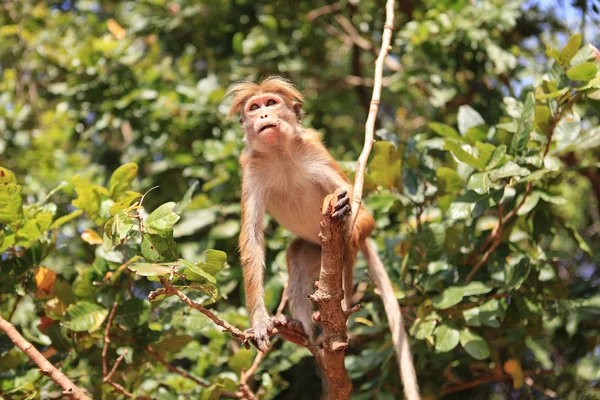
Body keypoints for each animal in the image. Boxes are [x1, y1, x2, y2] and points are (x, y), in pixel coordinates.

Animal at [230, 76, 422, 400]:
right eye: (254, 107)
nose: (263, 115)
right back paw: (300, 329)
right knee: (297, 252)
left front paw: (346, 216)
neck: (281, 154)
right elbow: (253, 239)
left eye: (271, 103)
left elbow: (365, 215)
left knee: (350, 244)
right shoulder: (251, 170)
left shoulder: (315, 153)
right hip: (315, 250)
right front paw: (260, 322)